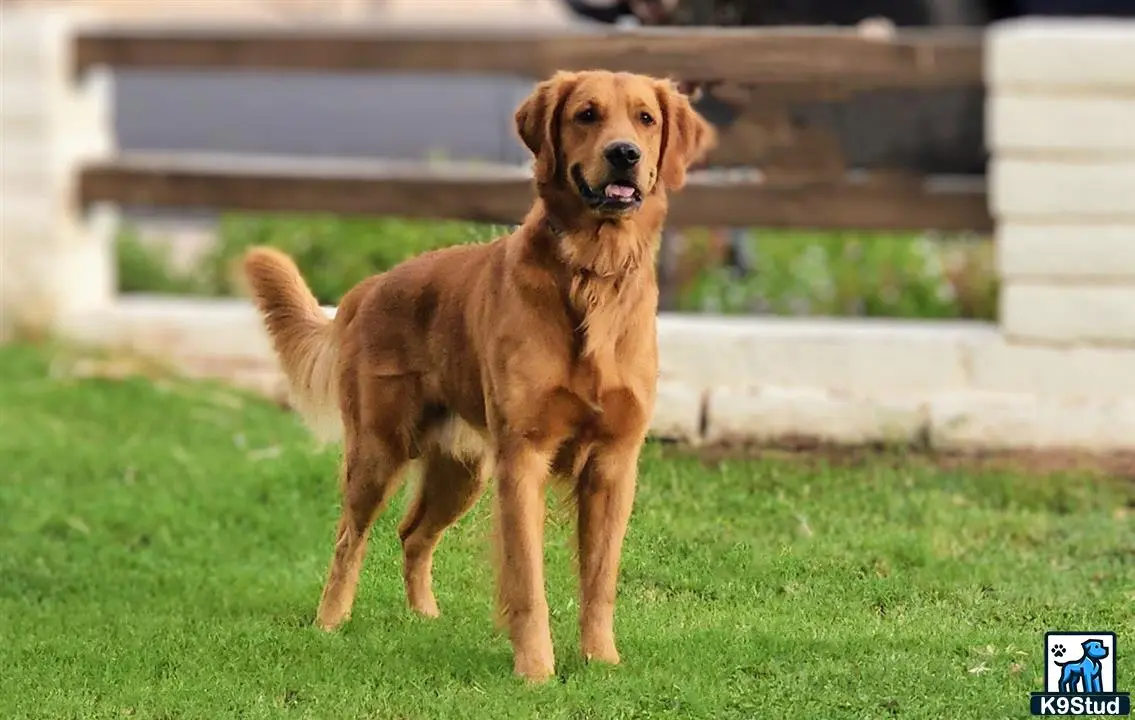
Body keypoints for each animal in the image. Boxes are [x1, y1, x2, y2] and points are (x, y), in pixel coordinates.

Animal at [242, 70, 712, 681]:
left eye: (645, 119)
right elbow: (528, 581)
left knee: (413, 534)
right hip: (378, 453)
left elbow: (600, 578)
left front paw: (601, 660)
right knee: (349, 539)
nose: (624, 154)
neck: (591, 274)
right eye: (586, 114)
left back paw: (423, 616)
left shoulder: (614, 463)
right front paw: (536, 671)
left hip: (461, 472)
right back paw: (330, 623)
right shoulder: (523, 458)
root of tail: (367, 289)